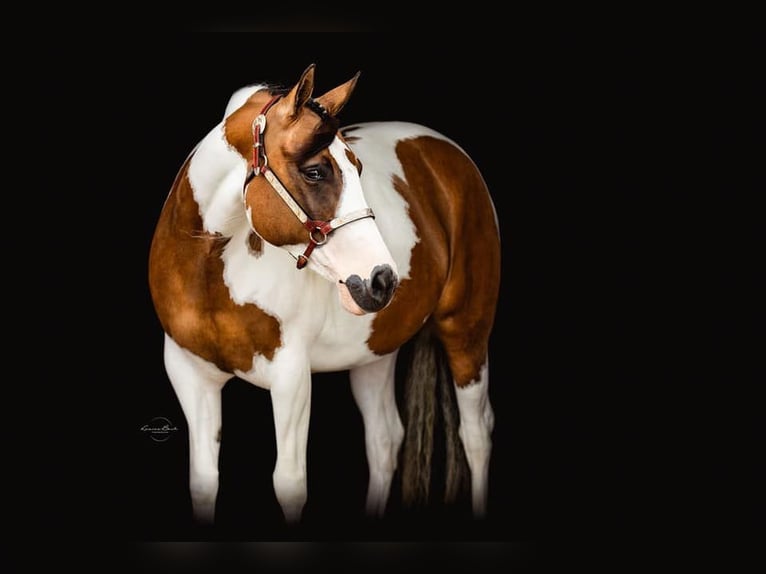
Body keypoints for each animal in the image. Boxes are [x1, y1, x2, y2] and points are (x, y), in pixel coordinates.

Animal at [148, 63, 501, 525]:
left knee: (475, 435)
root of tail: (445, 152)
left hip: (467, 330)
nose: (381, 279)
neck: (207, 273)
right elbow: (204, 482)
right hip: (375, 348)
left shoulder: (291, 377)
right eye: (315, 171)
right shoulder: (189, 374)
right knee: (384, 440)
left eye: (358, 167)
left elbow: (289, 484)